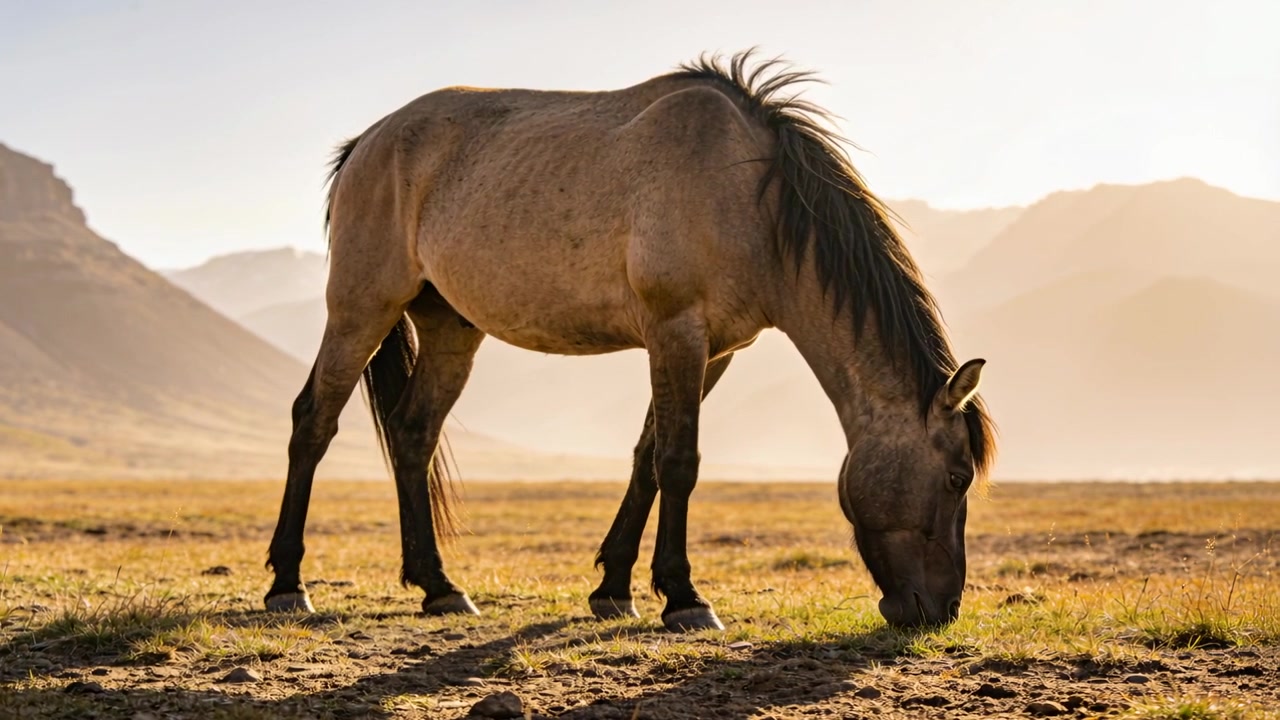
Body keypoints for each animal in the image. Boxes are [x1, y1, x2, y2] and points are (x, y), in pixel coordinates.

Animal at [263, 49, 996, 632]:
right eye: (957, 476)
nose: (942, 609)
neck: (750, 194)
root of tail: (368, 140)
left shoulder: (714, 351)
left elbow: (647, 456)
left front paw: (614, 590)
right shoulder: (676, 331)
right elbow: (678, 460)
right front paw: (685, 598)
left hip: (449, 327)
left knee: (413, 435)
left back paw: (440, 587)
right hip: (362, 307)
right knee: (313, 422)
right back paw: (287, 585)